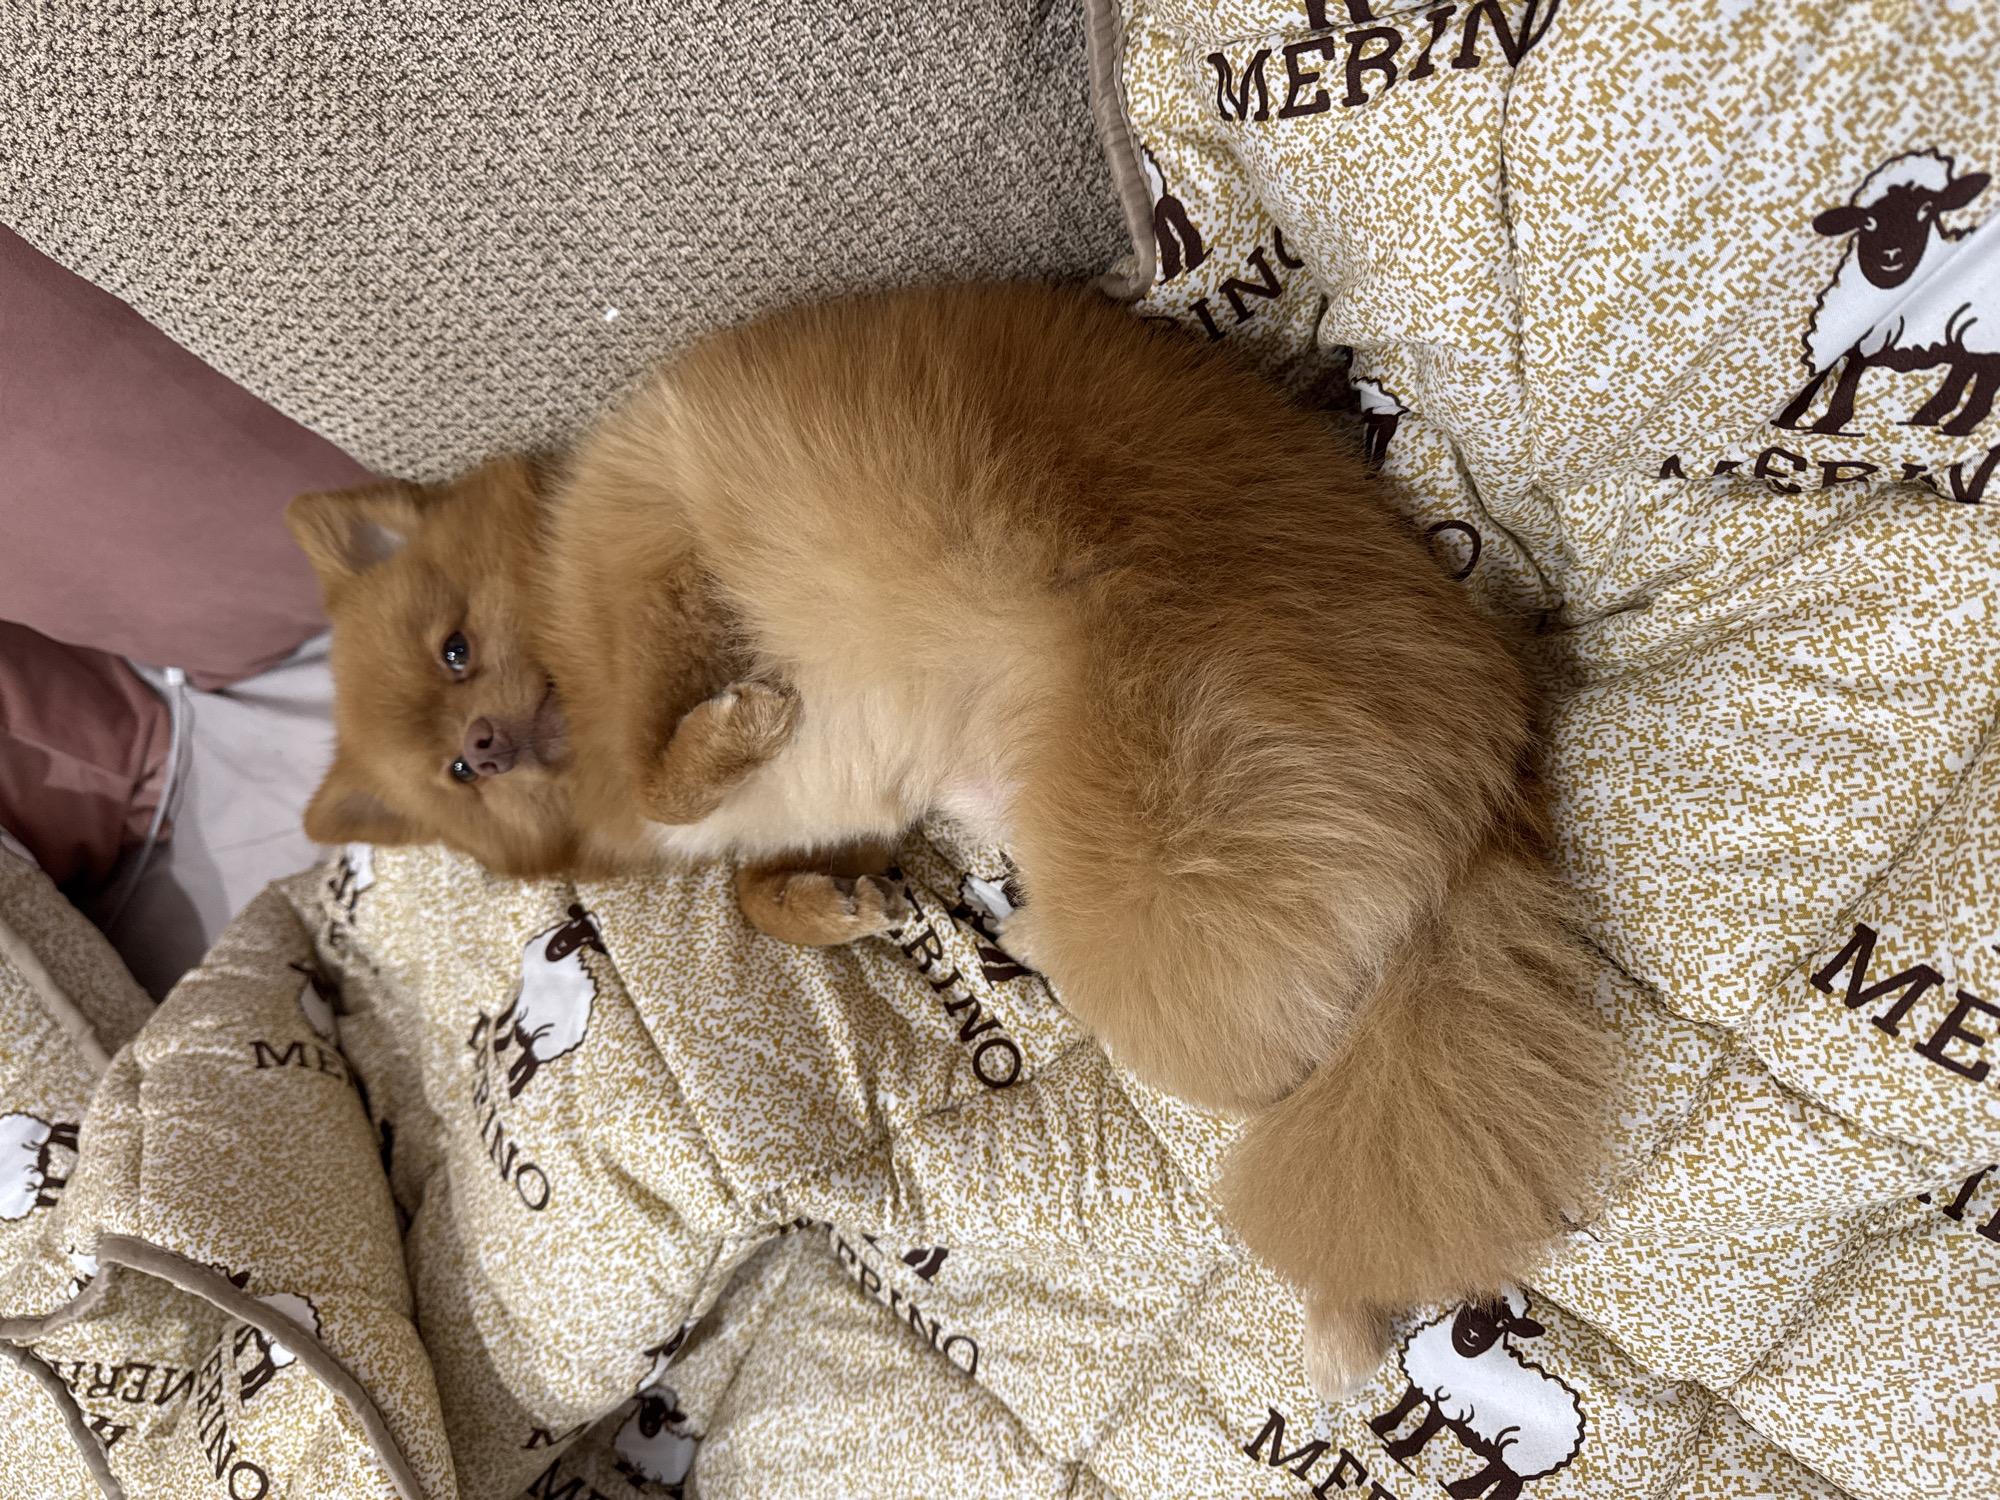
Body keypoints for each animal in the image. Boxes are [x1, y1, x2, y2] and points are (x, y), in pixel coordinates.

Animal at [490, 904, 605, 1097]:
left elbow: (511, 1018)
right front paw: (498, 1032)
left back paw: (513, 1087)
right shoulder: (524, 994)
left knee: (530, 1066)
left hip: (544, 1042)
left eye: (588, 941)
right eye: (575, 922)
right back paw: (508, 1069)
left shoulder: (526, 1001)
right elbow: (510, 1017)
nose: (561, 946)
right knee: (525, 1055)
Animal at [1367, 1290, 1584, 1500]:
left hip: (1519, 1450)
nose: (1473, 1335)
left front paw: (1401, 1449)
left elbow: (1428, 1426)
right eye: (1473, 1301)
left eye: (1504, 1324)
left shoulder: (1451, 1403)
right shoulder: (1427, 1379)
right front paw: (1382, 1426)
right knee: (1499, 1473)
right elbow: (1407, 1403)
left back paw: (1461, 1490)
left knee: (1508, 1479)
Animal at [1778, 150, 1998, 437]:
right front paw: (1793, 420)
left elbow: (1845, 378)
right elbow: (1823, 379)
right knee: (1966, 367)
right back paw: (1930, 416)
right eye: (1868, 221)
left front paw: (1828, 423)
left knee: (1984, 376)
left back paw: (1956, 425)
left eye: (1926, 209)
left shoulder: (1866, 340)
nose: (1891, 253)